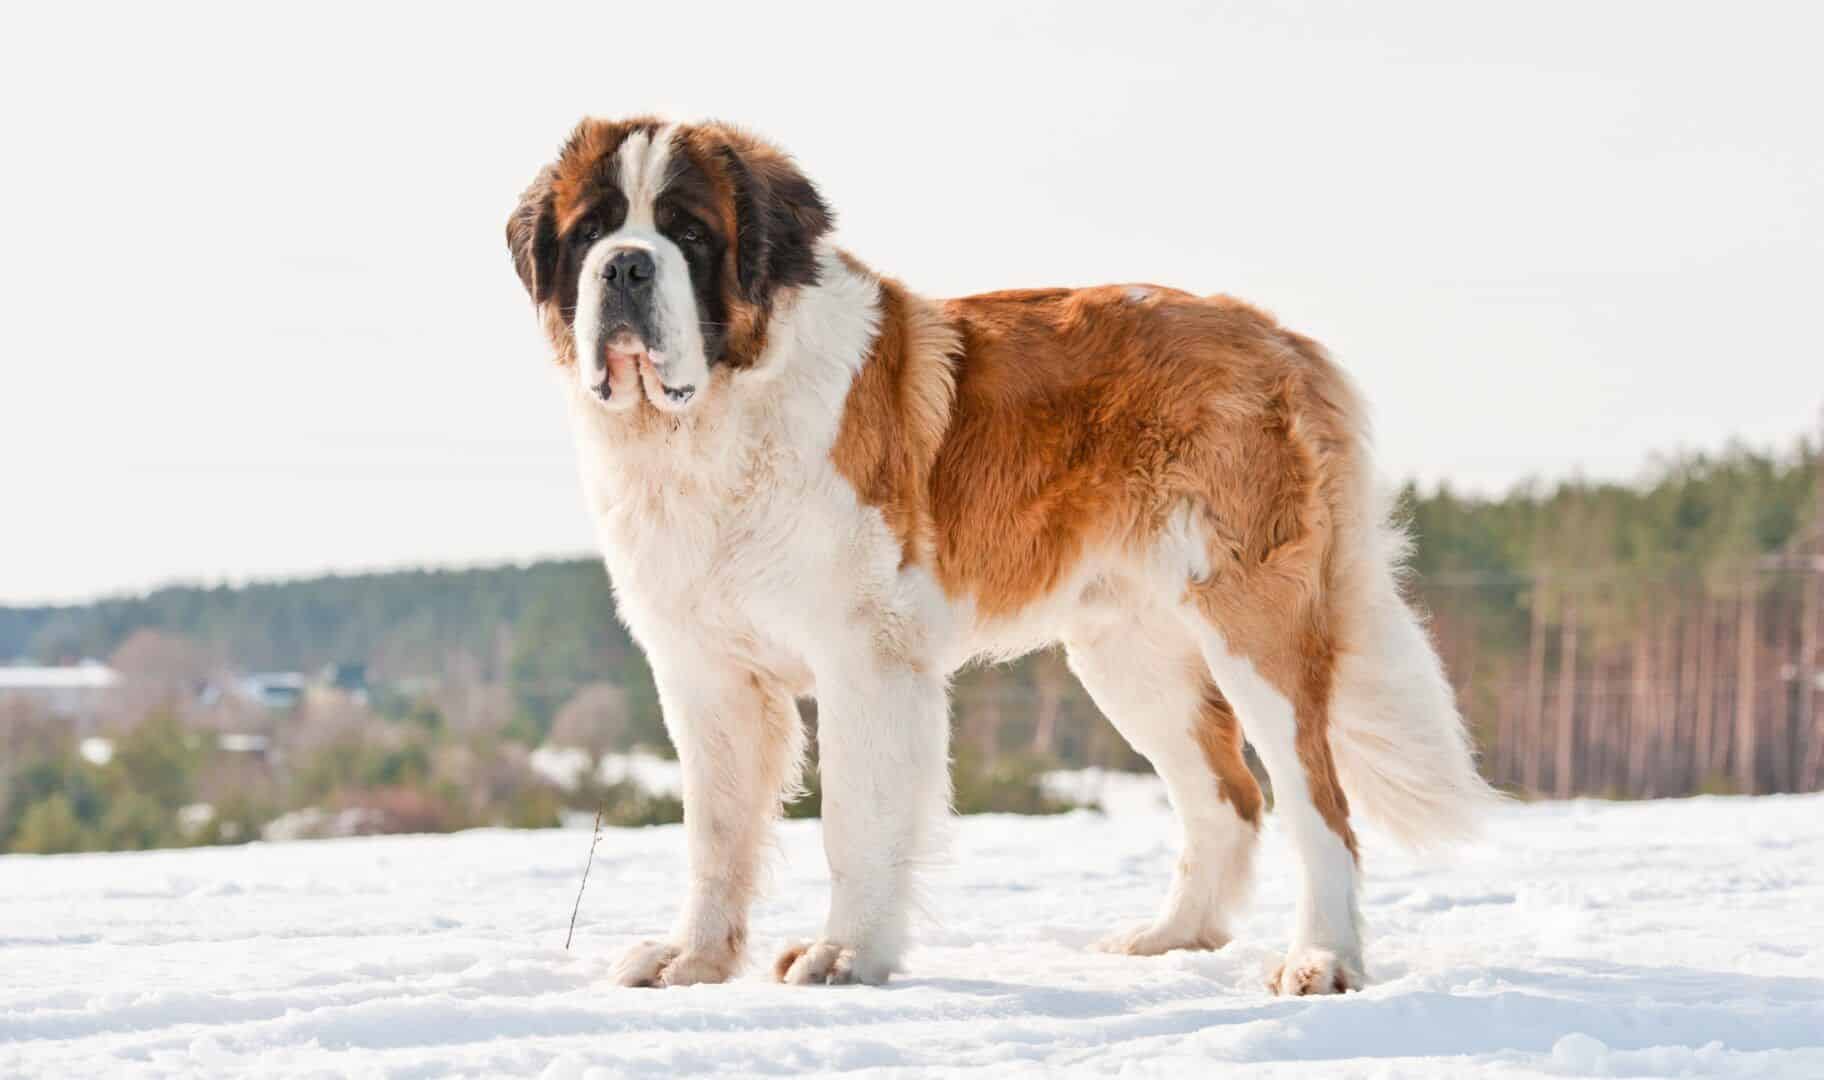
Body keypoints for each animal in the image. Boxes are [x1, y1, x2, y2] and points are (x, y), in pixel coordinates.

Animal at [503, 118, 1495, 992]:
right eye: (589, 232)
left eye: (689, 233)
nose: (625, 265)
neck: (712, 419)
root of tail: (1280, 337)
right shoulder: (705, 671)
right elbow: (715, 831)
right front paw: (693, 961)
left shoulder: (866, 657)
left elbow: (854, 818)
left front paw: (844, 955)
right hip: (1127, 657)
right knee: (1227, 797)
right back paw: (1173, 937)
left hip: (1254, 626)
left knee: (1317, 804)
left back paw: (1321, 962)